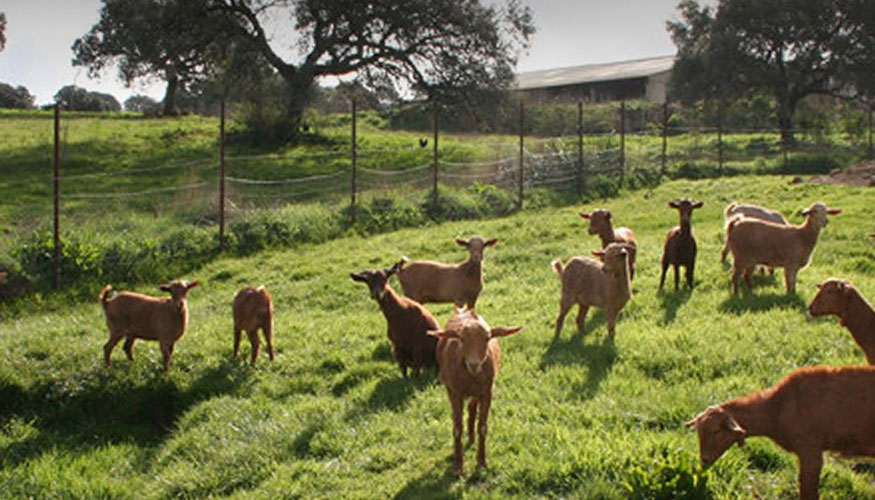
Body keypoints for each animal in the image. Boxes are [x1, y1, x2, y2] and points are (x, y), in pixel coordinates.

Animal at [428, 307, 521, 476]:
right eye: (461, 338)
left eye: (487, 338)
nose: (474, 364)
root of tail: (464, 310)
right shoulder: (455, 393)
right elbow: (457, 428)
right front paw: (458, 467)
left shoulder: (487, 392)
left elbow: (483, 427)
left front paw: (481, 463)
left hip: (479, 391)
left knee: (472, 407)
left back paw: (472, 438)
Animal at [688, 365, 875, 500]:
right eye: (699, 432)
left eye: (717, 431)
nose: (704, 460)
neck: (777, 408)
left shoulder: (810, 450)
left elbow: (807, 490)